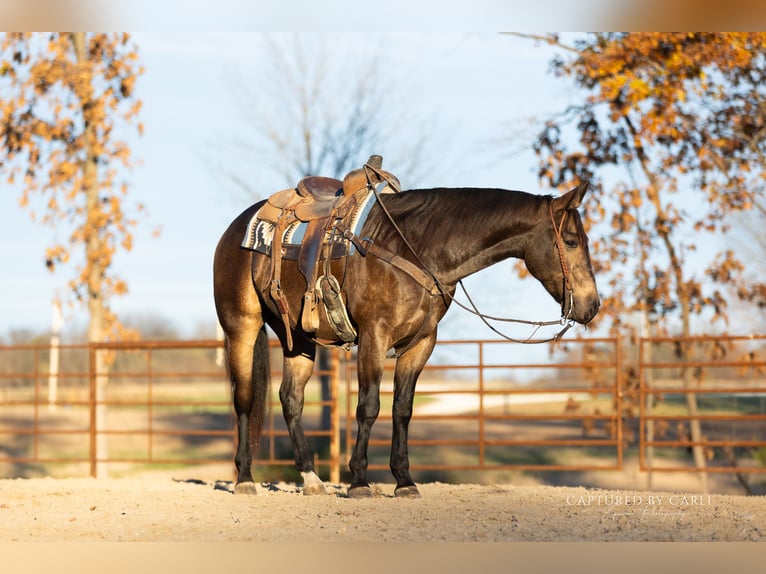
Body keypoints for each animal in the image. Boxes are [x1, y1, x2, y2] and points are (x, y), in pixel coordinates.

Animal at [213, 178, 599, 498]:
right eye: (570, 241)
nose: (592, 305)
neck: (415, 247)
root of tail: (236, 229)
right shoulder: (374, 337)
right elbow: (368, 407)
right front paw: (359, 482)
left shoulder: (420, 344)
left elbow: (403, 409)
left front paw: (404, 481)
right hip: (242, 328)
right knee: (244, 398)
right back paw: (244, 479)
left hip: (300, 339)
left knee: (291, 399)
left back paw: (311, 480)